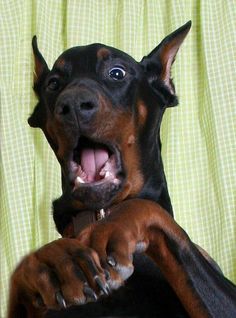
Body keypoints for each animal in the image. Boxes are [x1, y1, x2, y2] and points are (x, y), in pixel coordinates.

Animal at [7, 22, 236, 318]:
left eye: (117, 73)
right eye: (53, 84)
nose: (73, 104)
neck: (98, 212)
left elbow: (144, 208)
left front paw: (109, 229)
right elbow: (22, 270)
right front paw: (55, 261)